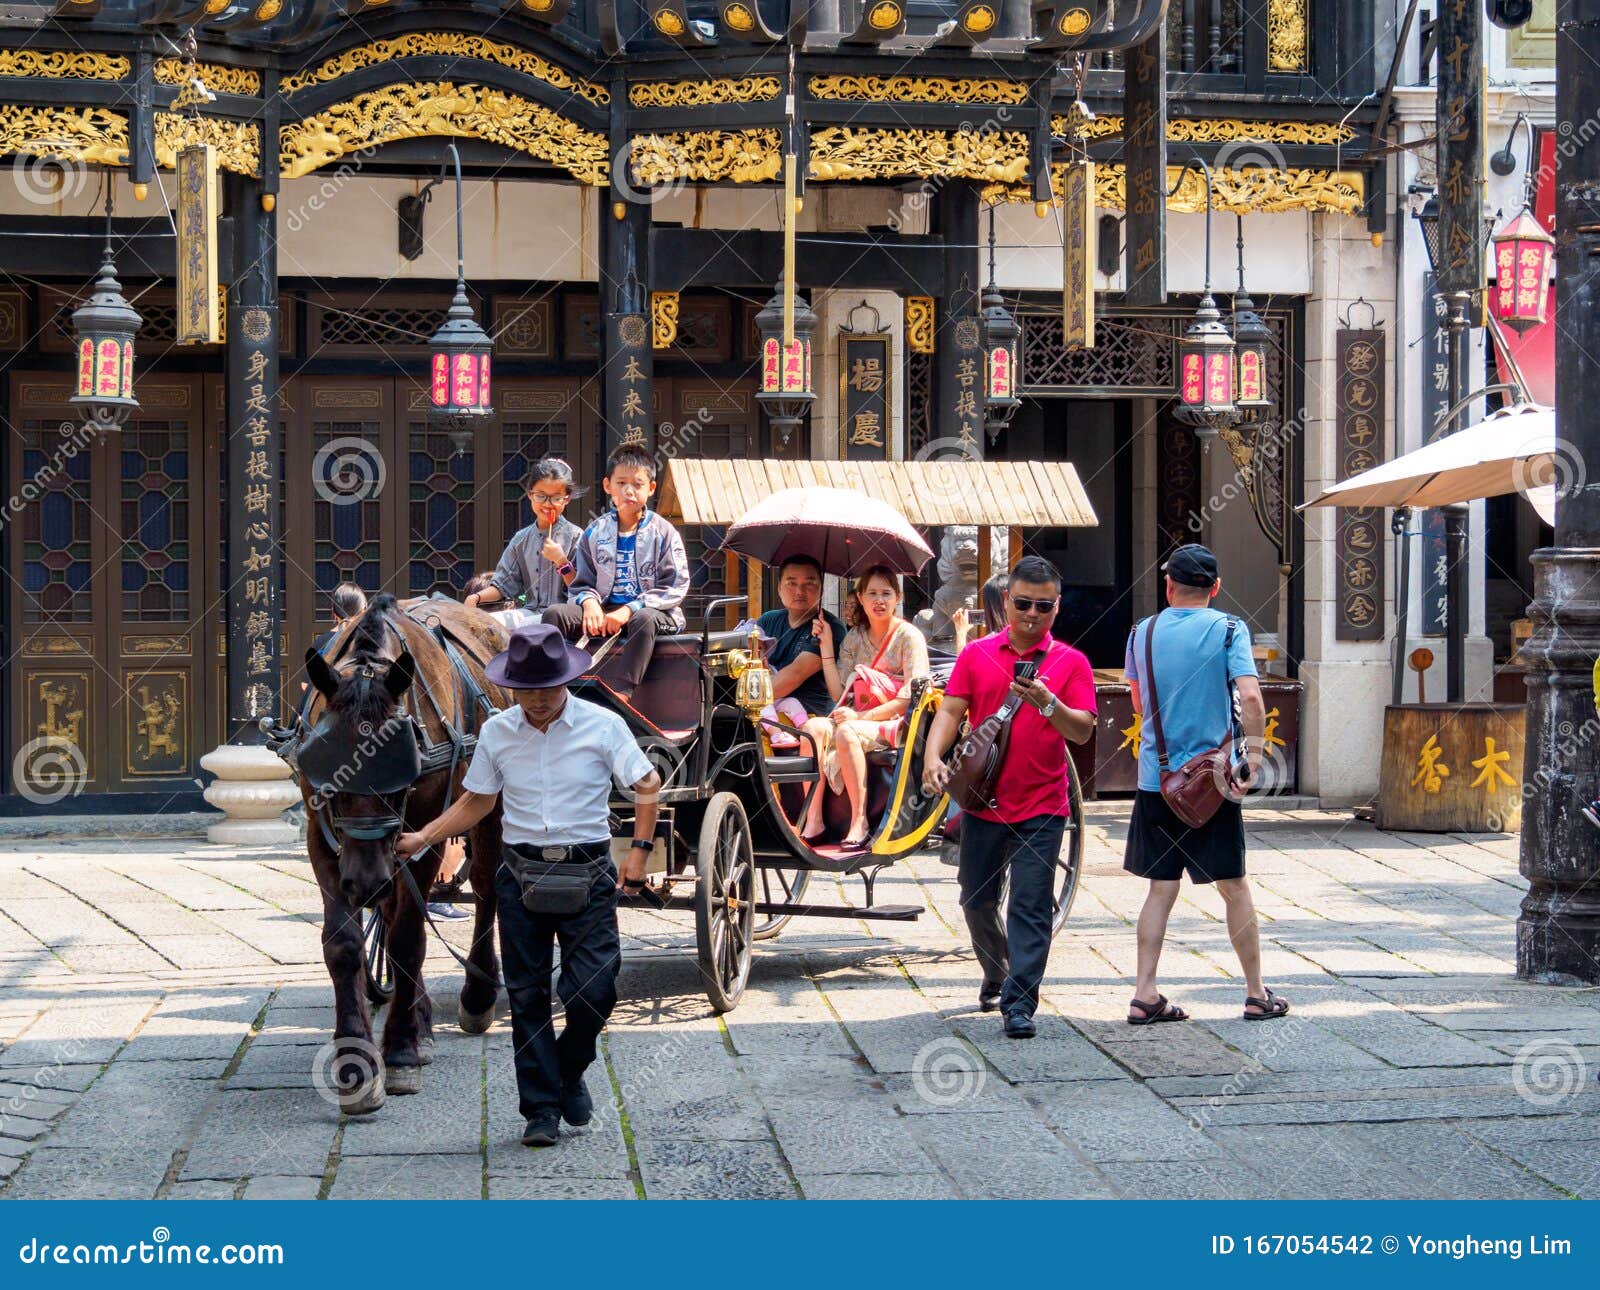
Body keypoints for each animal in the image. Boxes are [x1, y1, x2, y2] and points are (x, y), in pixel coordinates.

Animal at [296, 595, 505, 1113]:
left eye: (401, 781)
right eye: (331, 780)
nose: (367, 883)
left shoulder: (424, 832)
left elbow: (409, 938)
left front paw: (403, 1053)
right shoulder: (322, 838)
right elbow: (346, 944)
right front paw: (356, 1061)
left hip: (488, 806)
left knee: (487, 890)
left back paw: (476, 996)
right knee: (391, 918)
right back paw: (424, 1019)